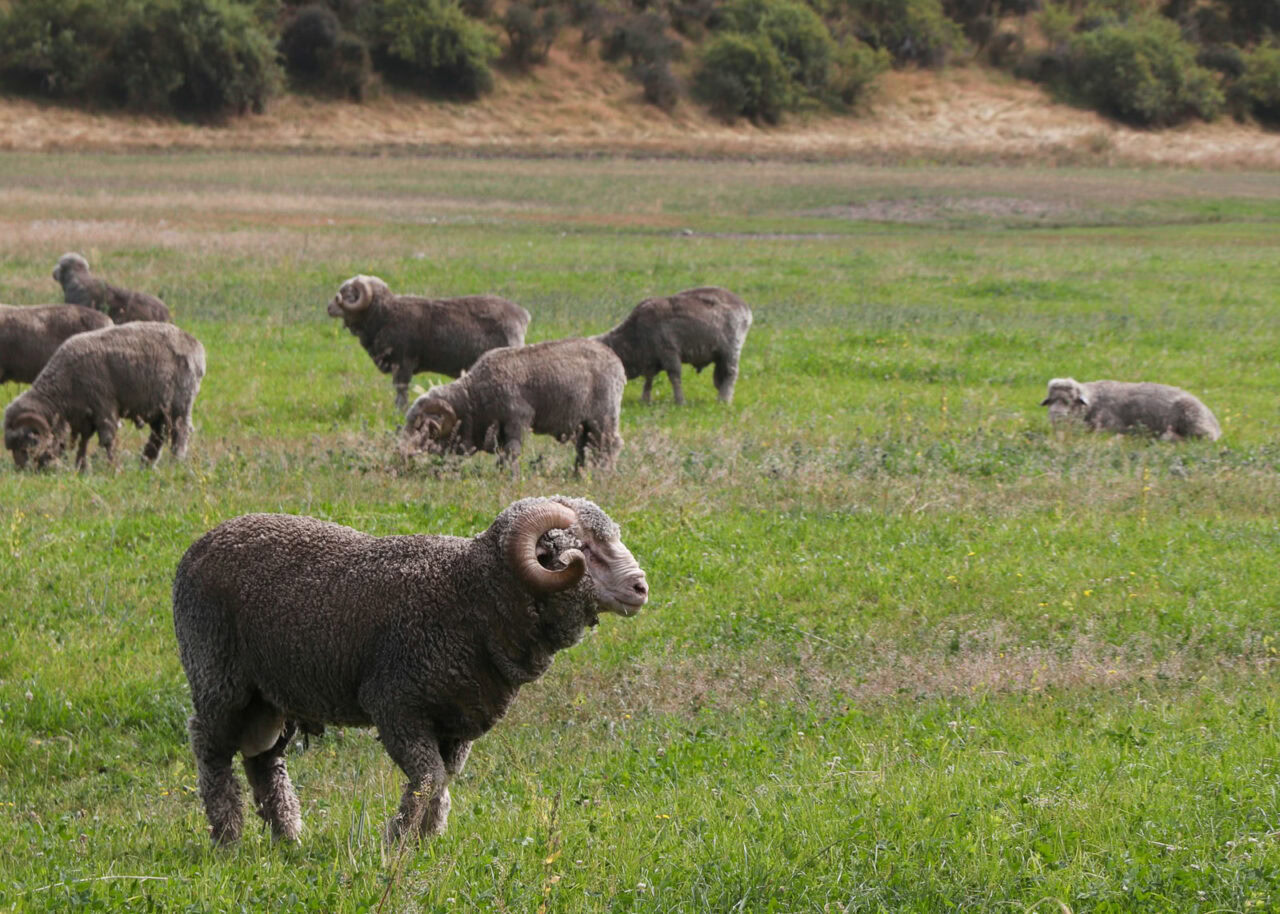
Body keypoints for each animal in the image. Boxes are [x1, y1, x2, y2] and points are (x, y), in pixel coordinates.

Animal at [3, 322, 206, 470]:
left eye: (29, 443)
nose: (23, 471)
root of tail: (196, 345)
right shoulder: (84, 416)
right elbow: (84, 441)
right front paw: (81, 467)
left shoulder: (104, 407)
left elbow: (107, 438)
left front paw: (110, 466)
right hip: (159, 408)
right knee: (159, 433)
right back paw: (146, 463)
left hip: (180, 403)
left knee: (180, 431)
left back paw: (176, 461)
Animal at [172, 496, 649, 845]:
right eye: (583, 548)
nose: (641, 586)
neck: (469, 596)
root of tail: (199, 545)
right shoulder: (397, 706)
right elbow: (428, 777)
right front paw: (398, 840)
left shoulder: (456, 721)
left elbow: (443, 780)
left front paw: (427, 840)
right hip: (218, 677)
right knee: (210, 750)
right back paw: (227, 837)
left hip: (271, 696)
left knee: (265, 761)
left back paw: (288, 837)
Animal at [327, 274, 531, 411]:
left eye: (349, 293)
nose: (329, 308)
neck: (385, 315)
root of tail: (521, 314)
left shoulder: (403, 363)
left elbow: (401, 392)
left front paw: (399, 412)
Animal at [400, 337, 625, 472]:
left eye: (422, 428)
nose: (402, 453)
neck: (474, 397)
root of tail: (615, 361)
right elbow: (503, 455)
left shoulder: (518, 420)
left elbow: (512, 452)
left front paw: (511, 477)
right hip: (585, 423)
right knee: (585, 446)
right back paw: (579, 474)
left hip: (603, 417)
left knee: (611, 444)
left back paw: (604, 474)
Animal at [595, 286, 752, 405]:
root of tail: (745, 307)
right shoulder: (651, 359)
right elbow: (649, 379)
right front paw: (645, 399)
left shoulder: (668, 351)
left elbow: (674, 377)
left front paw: (680, 401)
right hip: (720, 355)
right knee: (721, 377)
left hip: (732, 348)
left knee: (731, 373)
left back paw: (724, 400)